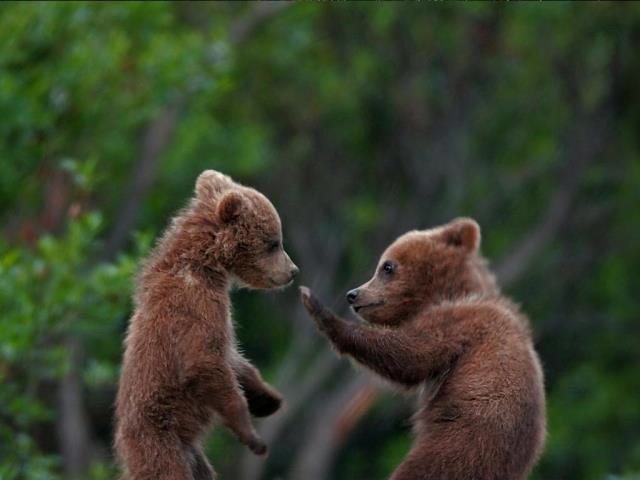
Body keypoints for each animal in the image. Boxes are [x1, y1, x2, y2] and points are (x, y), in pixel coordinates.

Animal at [114, 170, 298, 480]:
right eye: (274, 242)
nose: (293, 271)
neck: (205, 264)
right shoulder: (196, 306)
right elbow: (204, 362)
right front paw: (252, 436)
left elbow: (233, 359)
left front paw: (268, 398)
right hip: (160, 443)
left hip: (194, 457)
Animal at [300, 218, 546, 480]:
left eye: (387, 266)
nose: (352, 294)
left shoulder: (460, 324)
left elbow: (411, 354)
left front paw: (317, 307)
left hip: (462, 445)